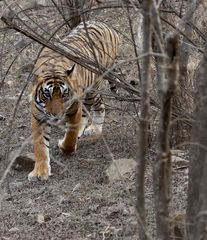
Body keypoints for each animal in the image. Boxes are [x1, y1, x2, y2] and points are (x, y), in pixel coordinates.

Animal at [28, 21, 119, 180]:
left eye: (64, 95)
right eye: (47, 95)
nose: (56, 115)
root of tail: (108, 26)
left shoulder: (73, 109)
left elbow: (70, 136)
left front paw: (65, 147)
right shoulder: (38, 116)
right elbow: (40, 145)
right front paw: (40, 171)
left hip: (94, 88)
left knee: (99, 106)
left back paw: (94, 129)